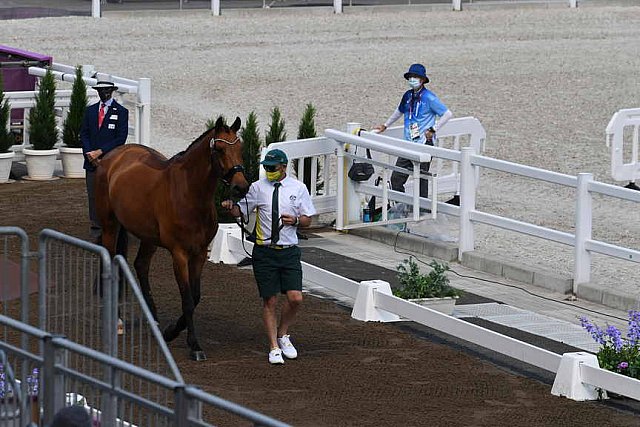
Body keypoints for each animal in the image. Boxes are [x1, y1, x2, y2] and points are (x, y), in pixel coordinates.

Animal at [95, 117, 248, 362]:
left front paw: (170, 332)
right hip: (111, 226)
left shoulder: (199, 253)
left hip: (147, 236)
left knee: (141, 265)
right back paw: (117, 320)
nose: (241, 187)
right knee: (111, 262)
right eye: (220, 149)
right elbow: (187, 299)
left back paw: (154, 321)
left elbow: (195, 296)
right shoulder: (179, 254)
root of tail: (113, 156)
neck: (190, 193)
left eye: (239, 148)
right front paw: (194, 346)